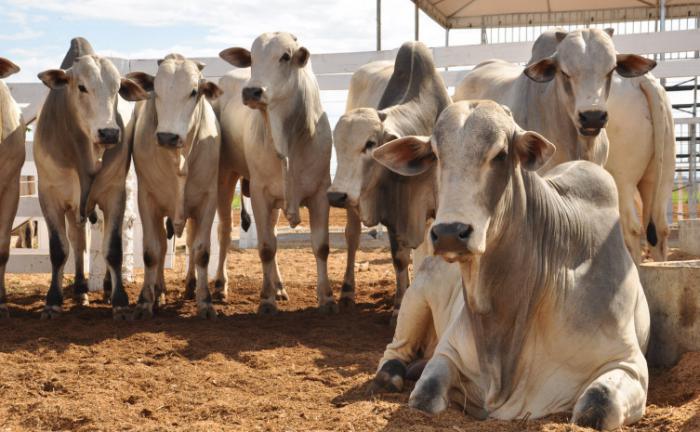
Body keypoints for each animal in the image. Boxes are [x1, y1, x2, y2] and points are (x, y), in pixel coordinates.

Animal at [34, 37, 147, 318]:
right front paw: (53, 300)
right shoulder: (49, 195)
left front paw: (119, 300)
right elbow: (59, 249)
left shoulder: (115, 194)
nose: (109, 132)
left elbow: (113, 249)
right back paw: (80, 289)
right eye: (82, 87)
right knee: (77, 243)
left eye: (117, 89)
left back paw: (105, 288)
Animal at [128, 53, 221, 318]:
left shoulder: (208, 200)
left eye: (193, 91)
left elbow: (201, 251)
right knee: (160, 246)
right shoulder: (147, 200)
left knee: (189, 245)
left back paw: (190, 286)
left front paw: (205, 301)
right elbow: (151, 251)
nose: (167, 137)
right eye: (155, 90)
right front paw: (145, 301)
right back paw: (159, 291)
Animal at [217, 32, 334, 312]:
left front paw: (327, 298)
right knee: (224, 231)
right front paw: (266, 301)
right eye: (251, 57)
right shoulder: (260, 193)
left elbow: (321, 246)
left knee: (270, 234)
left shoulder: (320, 193)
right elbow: (266, 247)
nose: (252, 91)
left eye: (285, 56)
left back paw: (278, 286)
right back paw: (219, 285)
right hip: (225, 176)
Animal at [326, 42, 448, 320]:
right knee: (352, 238)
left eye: (370, 143)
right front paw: (399, 305)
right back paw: (347, 292)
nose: (336, 195)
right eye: (337, 145)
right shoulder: (394, 213)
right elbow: (399, 258)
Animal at [372, 100, 652, 428]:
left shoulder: (628, 363)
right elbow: (424, 396)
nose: (450, 232)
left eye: (500, 154)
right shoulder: (449, 352)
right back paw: (389, 374)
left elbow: (597, 406)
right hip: (416, 297)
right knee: (395, 348)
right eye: (436, 156)